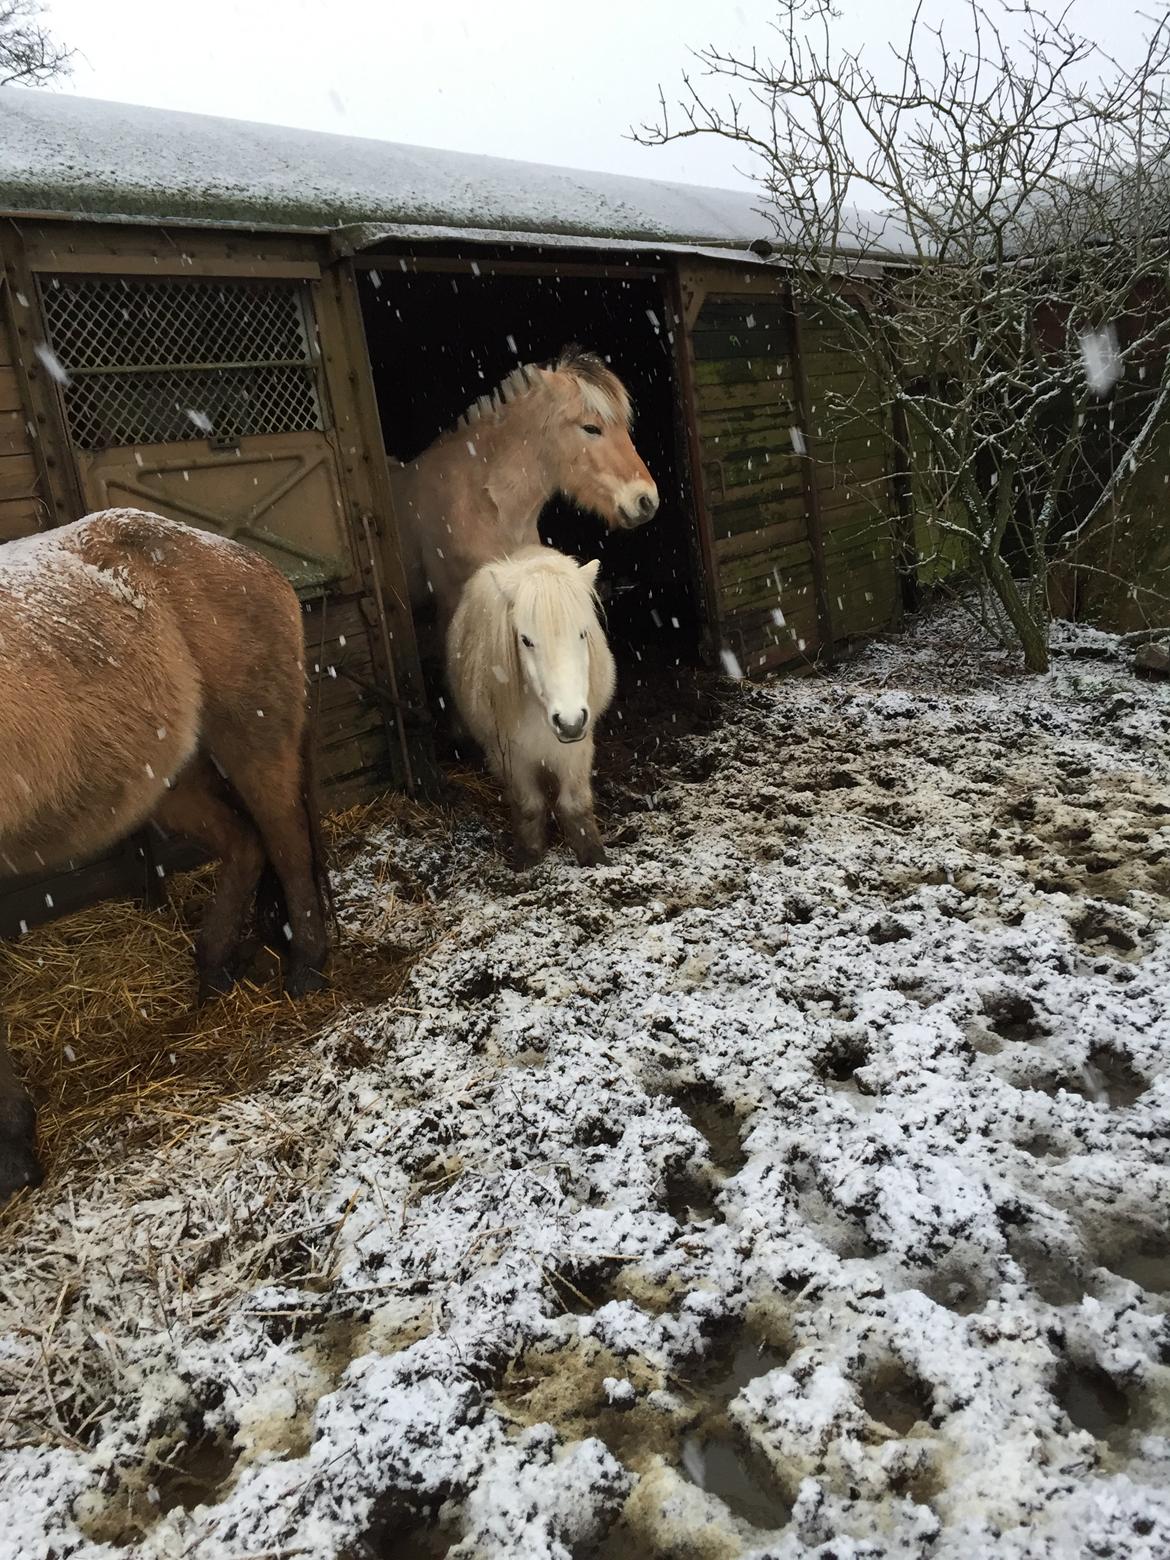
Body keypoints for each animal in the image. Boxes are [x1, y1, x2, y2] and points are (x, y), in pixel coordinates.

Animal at [1, 505, 330, 1198]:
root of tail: (251, 560)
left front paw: (12, 1149)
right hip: (170, 778)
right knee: (246, 842)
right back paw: (214, 969)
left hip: (252, 738)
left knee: (285, 841)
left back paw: (306, 968)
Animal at [446, 546, 617, 867]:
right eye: (525, 640)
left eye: (583, 633)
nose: (570, 722)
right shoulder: (509, 757)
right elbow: (529, 806)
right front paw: (529, 858)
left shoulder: (576, 751)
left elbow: (575, 804)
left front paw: (595, 858)